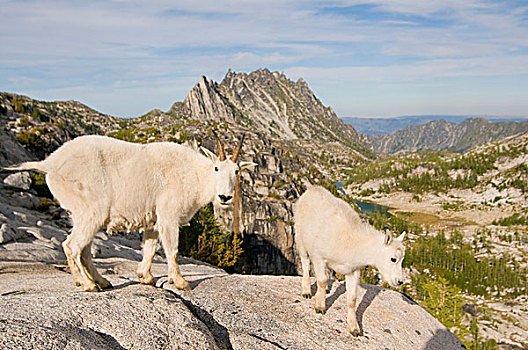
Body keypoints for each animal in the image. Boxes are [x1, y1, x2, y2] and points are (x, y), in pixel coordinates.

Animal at [6, 135, 256, 292]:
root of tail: (50, 164)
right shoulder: (169, 215)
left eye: (237, 171)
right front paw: (181, 282)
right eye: (216, 168)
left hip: (79, 213)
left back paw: (101, 281)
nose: (225, 197)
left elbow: (150, 248)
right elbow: (172, 250)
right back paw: (87, 285)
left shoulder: (153, 220)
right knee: (72, 246)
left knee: (84, 249)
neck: (195, 175)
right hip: (91, 210)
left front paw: (145, 277)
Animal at [292, 186, 404, 336]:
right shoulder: (319, 257)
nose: (399, 281)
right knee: (304, 263)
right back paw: (307, 291)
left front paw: (354, 328)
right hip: (300, 236)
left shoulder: (353, 271)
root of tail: (313, 189)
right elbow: (321, 281)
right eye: (393, 259)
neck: (351, 243)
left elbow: (352, 299)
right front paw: (320, 307)